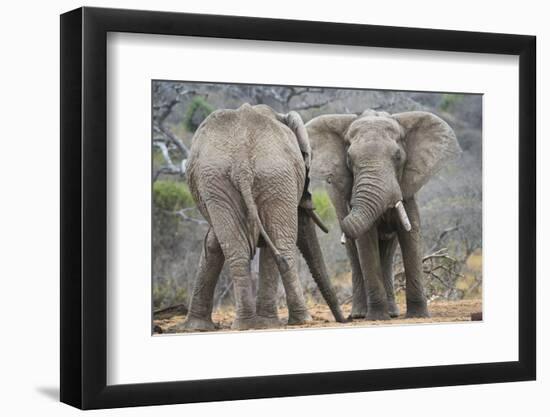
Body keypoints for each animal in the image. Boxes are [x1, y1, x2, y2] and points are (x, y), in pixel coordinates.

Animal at [183, 102, 348, 330]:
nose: (345, 320)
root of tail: (241, 162)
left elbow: (213, 242)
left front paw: (197, 327)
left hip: (228, 181)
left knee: (240, 250)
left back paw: (247, 324)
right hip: (270, 176)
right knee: (280, 245)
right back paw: (297, 320)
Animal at [308, 108, 464, 318]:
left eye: (398, 157)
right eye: (349, 159)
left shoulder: (407, 189)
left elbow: (411, 234)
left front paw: (418, 316)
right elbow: (366, 240)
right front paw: (376, 317)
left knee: (388, 251)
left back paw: (392, 313)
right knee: (354, 252)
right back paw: (360, 314)